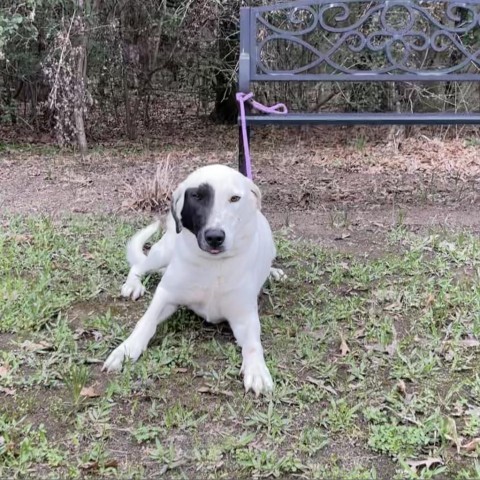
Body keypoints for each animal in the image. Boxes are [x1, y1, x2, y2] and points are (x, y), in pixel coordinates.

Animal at [100, 163, 282, 396]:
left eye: (234, 198)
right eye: (196, 196)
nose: (214, 237)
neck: (213, 265)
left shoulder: (245, 316)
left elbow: (253, 345)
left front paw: (257, 370)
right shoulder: (166, 295)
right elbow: (146, 321)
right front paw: (126, 348)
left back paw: (273, 272)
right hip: (164, 251)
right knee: (139, 266)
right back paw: (133, 284)